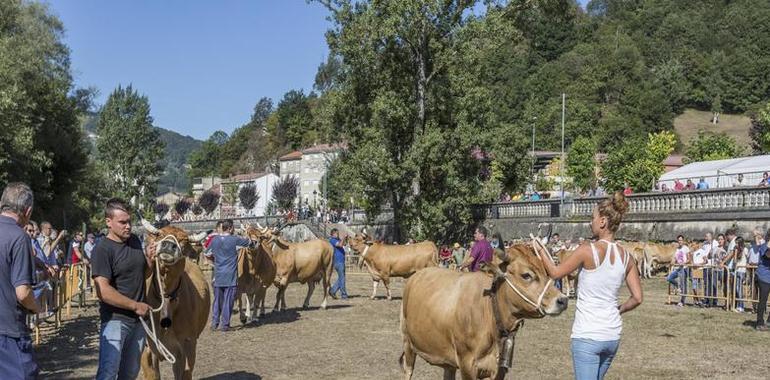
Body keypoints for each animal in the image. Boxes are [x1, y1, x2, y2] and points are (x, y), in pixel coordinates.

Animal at [400, 243, 568, 380]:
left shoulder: (498, 369)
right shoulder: (467, 364)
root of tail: (418, 274)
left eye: (547, 272)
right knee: (408, 370)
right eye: (526, 275)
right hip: (408, 341)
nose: (563, 300)